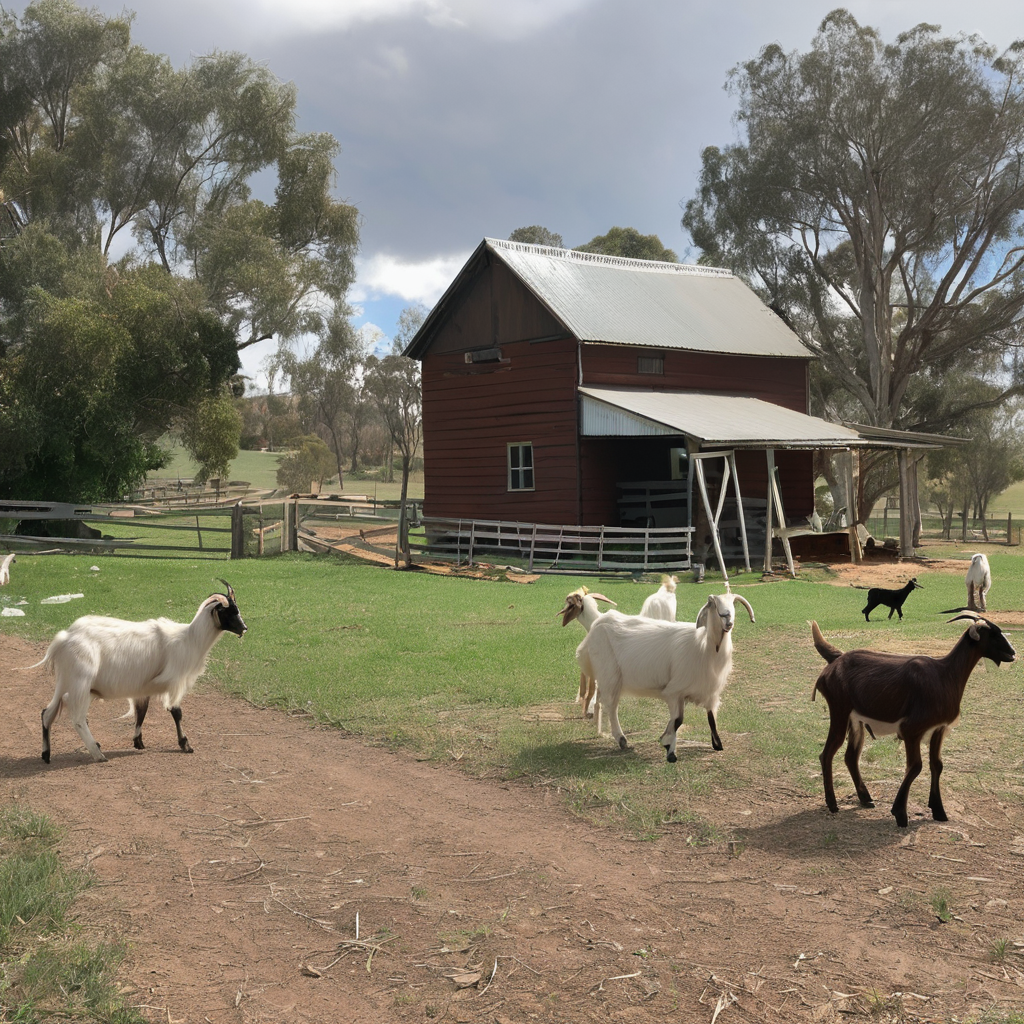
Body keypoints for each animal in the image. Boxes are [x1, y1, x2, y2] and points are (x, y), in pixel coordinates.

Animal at [35, 581, 245, 765]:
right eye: (229, 611)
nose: (244, 628)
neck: (190, 639)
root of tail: (64, 638)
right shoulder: (175, 681)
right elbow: (176, 712)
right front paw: (185, 744)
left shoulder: (143, 687)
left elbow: (141, 711)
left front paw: (138, 742)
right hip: (81, 681)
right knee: (77, 718)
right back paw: (98, 754)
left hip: (67, 681)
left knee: (48, 712)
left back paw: (47, 754)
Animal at [573, 593, 757, 761]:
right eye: (715, 605)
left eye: (733, 605)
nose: (728, 622)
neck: (705, 647)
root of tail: (599, 622)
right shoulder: (675, 691)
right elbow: (678, 720)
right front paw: (670, 749)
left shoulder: (708, 691)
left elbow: (709, 718)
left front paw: (717, 744)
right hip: (610, 674)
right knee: (611, 706)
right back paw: (621, 739)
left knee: (604, 703)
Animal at [806, 614, 1015, 823]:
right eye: (993, 634)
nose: (1012, 653)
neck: (945, 674)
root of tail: (836, 659)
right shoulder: (911, 730)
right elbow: (915, 767)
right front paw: (899, 812)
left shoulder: (939, 728)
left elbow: (936, 765)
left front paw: (938, 811)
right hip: (839, 711)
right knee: (827, 754)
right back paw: (832, 803)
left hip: (855, 719)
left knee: (851, 756)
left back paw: (865, 798)